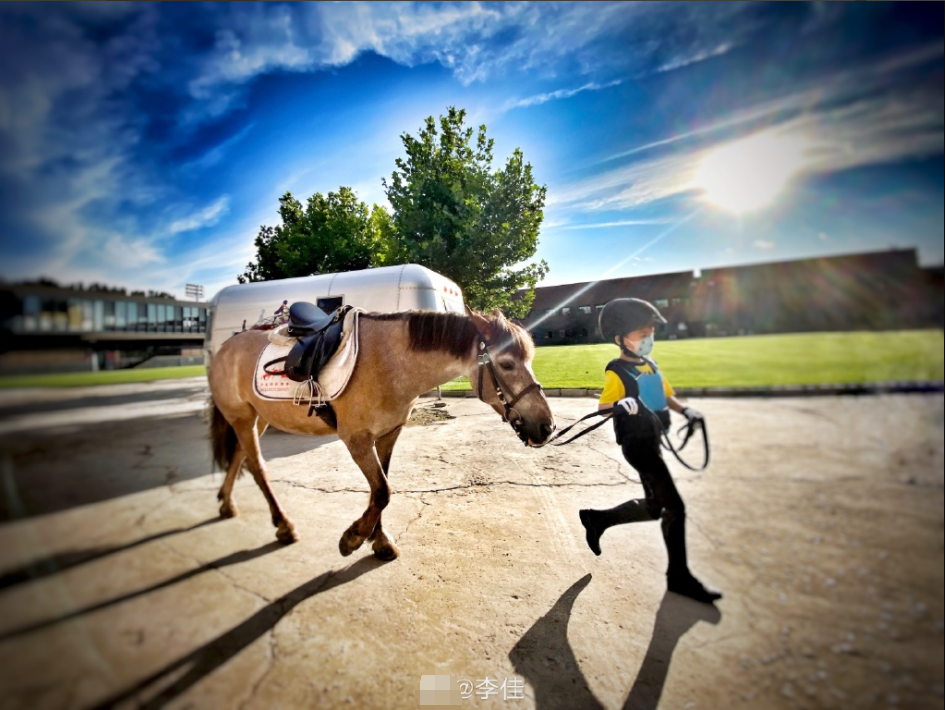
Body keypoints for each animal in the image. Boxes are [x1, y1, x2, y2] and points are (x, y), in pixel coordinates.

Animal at [206, 307, 556, 561]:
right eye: (507, 364)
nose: (547, 426)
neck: (390, 361)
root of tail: (224, 349)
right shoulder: (357, 440)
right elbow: (383, 491)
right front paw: (353, 538)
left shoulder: (388, 434)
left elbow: (382, 488)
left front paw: (380, 540)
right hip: (243, 419)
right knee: (258, 468)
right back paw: (283, 525)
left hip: (258, 419)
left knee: (240, 458)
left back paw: (226, 504)